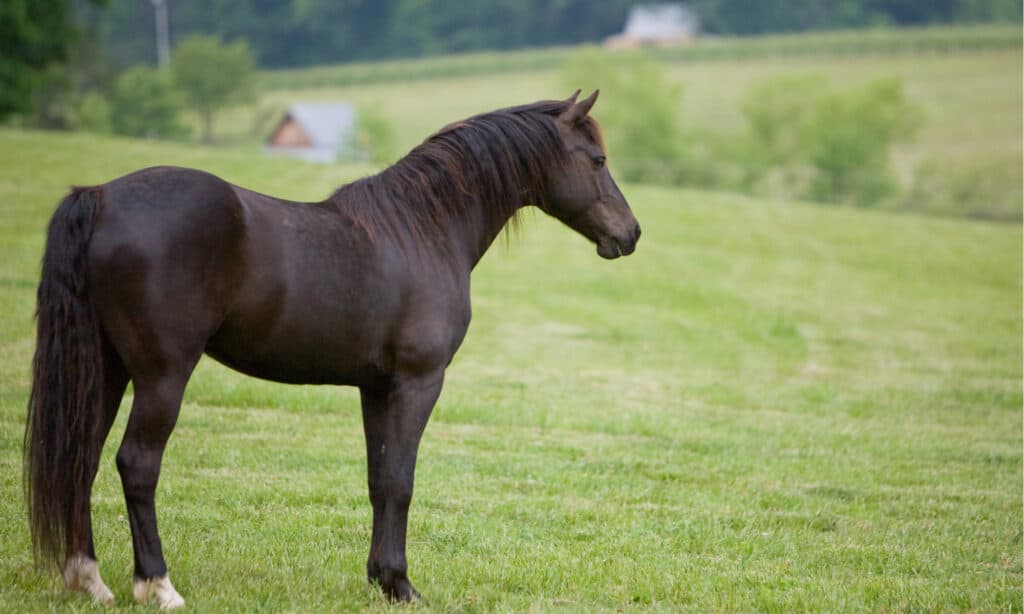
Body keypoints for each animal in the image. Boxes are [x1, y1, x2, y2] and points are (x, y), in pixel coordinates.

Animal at [25, 91, 638, 609]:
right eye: (598, 160)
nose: (630, 234)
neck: (422, 230)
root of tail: (100, 198)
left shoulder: (376, 387)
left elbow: (378, 480)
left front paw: (381, 580)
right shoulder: (418, 382)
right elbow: (402, 481)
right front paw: (402, 585)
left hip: (107, 370)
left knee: (81, 457)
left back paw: (88, 579)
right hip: (162, 376)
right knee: (136, 464)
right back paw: (158, 585)